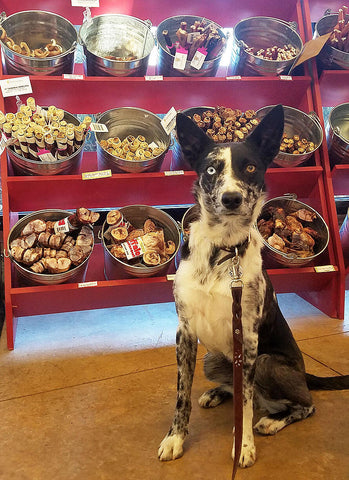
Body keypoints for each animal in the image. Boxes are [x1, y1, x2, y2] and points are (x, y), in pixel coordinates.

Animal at [158, 106, 348, 468]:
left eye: (250, 167)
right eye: (211, 168)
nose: (231, 199)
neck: (223, 250)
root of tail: (306, 375)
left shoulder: (246, 338)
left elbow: (245, 404)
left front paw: (243, 445)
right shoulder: (185, 332)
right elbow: (180, 394)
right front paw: (175, 438)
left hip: (266, 362)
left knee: (302, 404)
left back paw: (272, 420)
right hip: (213, 358)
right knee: (237, 389)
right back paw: (218, 393)